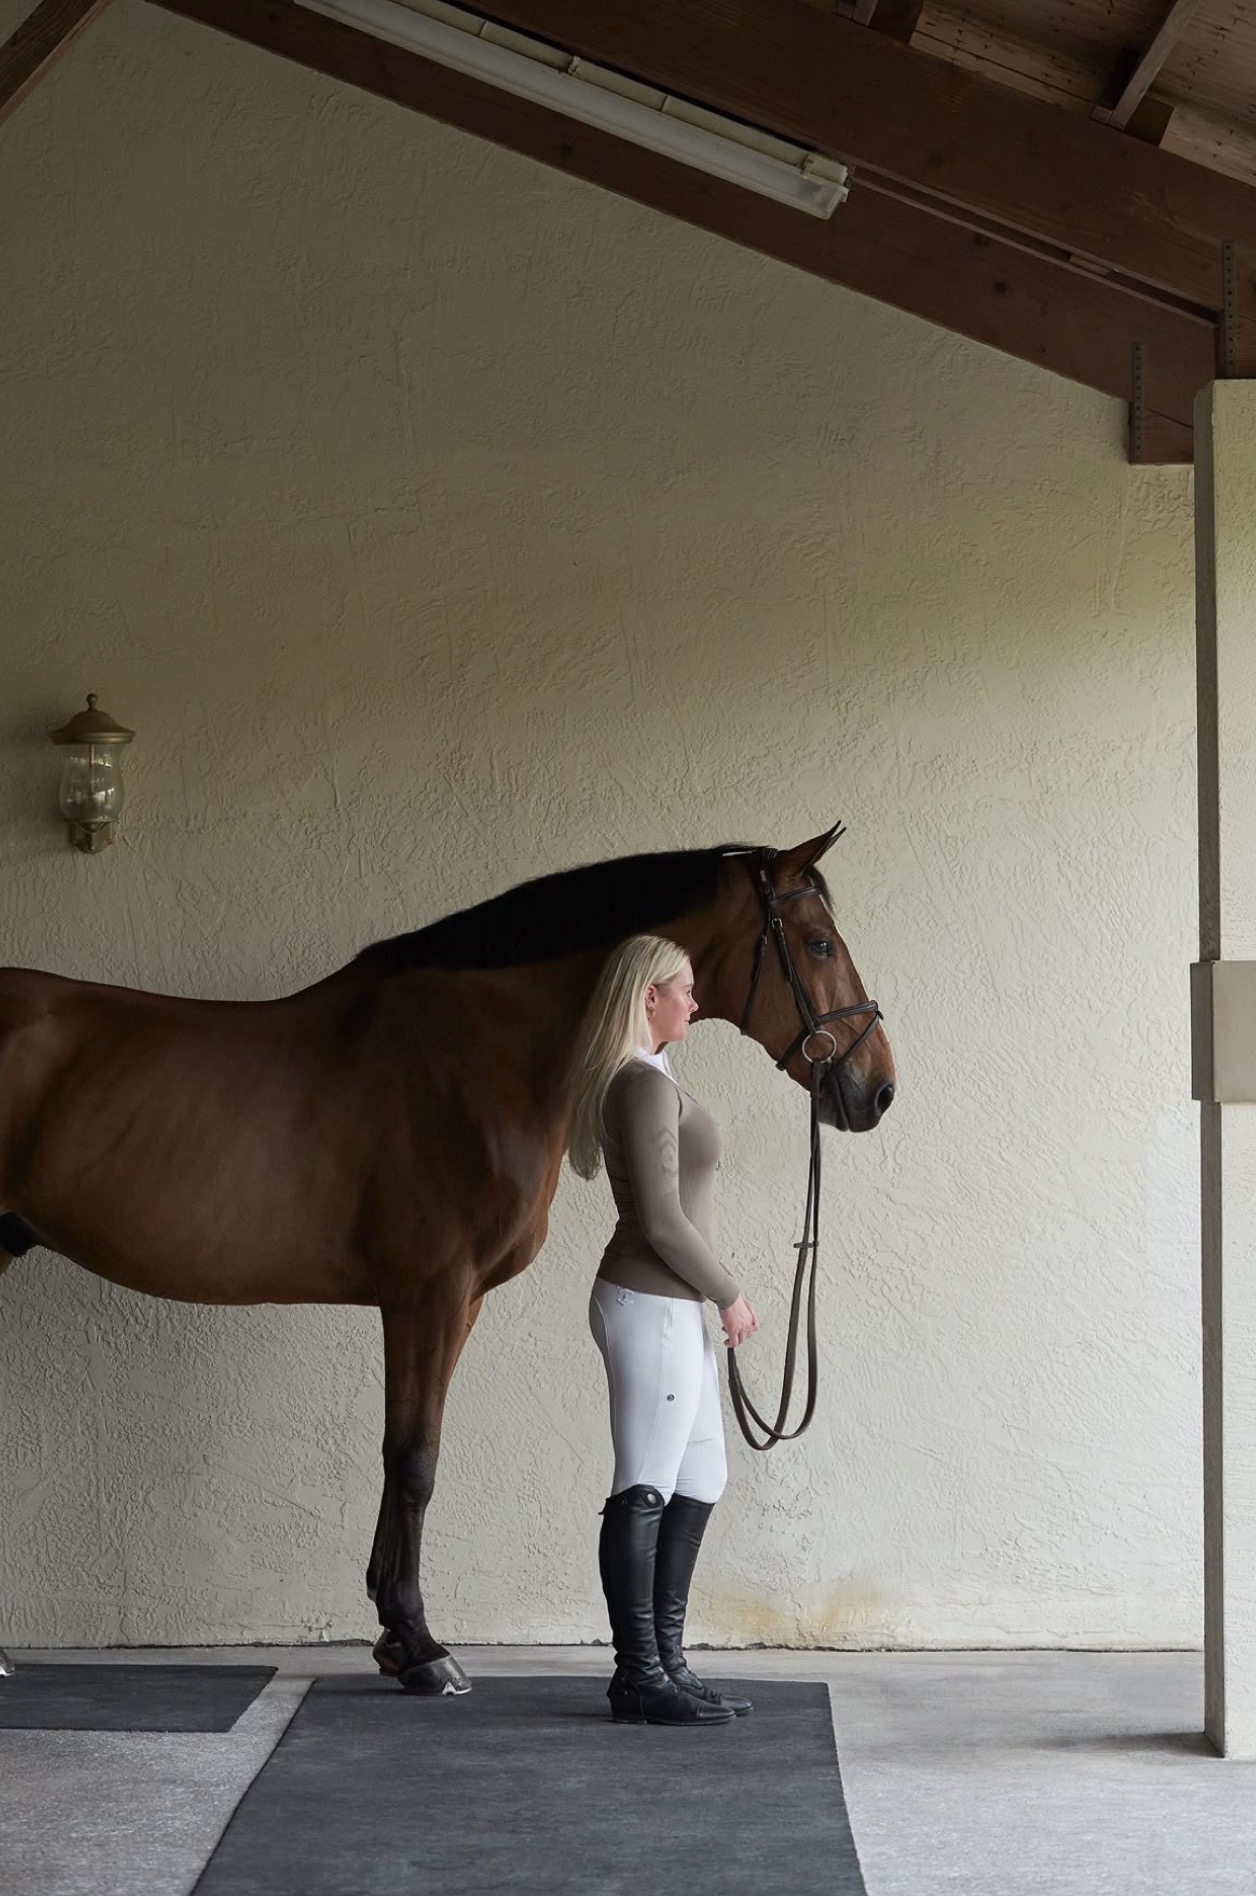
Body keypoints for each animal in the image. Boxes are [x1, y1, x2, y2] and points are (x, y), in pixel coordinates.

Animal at [0, 825, 895, 1693]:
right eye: (818, 943)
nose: (877, 1089)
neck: (479, 1054)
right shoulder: (427, 1292)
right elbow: (415, 1458)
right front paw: (422, 1646)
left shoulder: (457, 1301)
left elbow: (410, 1446)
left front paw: (397, 1638)